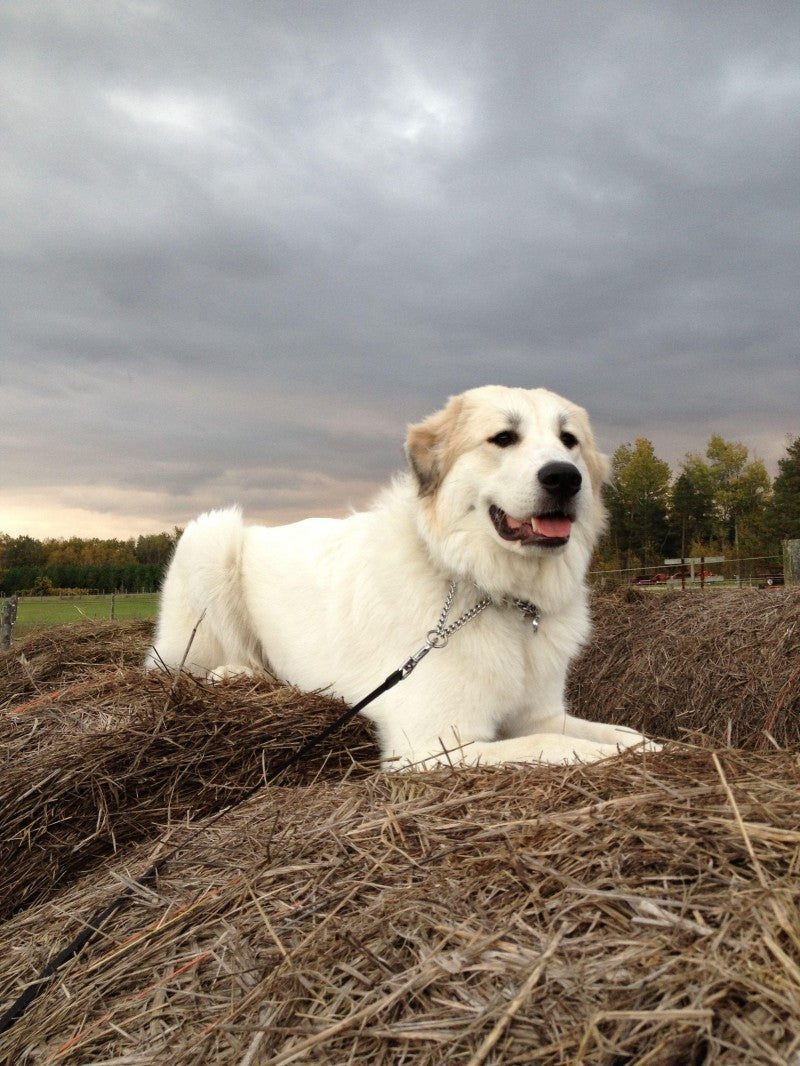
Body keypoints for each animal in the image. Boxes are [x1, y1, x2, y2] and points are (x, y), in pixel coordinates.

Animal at [147, 388, 661, 771]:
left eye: (569, 440)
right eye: (503, 438)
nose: (565, 477)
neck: (491, 591)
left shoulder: (543, 715)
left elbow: (616, 734)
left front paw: (656, 747)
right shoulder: (434, 744)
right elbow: (550, 746)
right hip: (211, 537)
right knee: (187, 664)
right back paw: (235, 673)